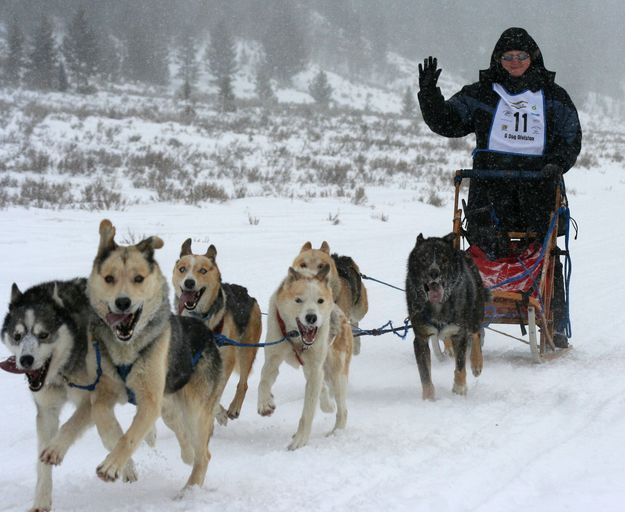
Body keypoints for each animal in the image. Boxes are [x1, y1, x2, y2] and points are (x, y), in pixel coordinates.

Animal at [0, 280, 136, 512]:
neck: (62, 371)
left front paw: (56, 449)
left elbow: (72, 425)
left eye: (43, 334)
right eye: (17, 336)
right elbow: (42, 462)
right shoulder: (47, 411)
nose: (26, 360)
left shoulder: (93, 399)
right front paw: (41, 501)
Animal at [86, 218, 224, 490]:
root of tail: (207, 334)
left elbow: (129, 437)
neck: (127, 350)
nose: (123, 302)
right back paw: (186, 454)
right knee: (184, 434)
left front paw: (112, 464)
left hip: (195, 407)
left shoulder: (150, 400)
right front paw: (124, 464)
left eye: (138, 278)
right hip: (170, 405)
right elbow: (108, 428)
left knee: (204, 454)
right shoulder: (103, 394)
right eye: (109, 278)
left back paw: (189, 491)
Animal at [171, 240, 260, 424]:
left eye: (203, 270)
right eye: (182, 269)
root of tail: (248, 295)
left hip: (245, 350)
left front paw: (217, 412)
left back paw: (234, 407)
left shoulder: (226, 359)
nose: (189, 282)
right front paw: (217, 412)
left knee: (243, 383)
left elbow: (216, 391)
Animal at [254, 266, 352, 450]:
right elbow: (263, 382)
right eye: (298, 300)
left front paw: (300, 440)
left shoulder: (315, 370)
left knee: (342, 409)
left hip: (337, 374)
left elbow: (307, 412)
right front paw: (265, 403)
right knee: (323, 389)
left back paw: (336, 431)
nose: (311, 317)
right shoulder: (272, 359)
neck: (296, 338)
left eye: (320, 301)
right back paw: (327, 405)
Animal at [404, 234, 488, 402]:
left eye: (444, 260)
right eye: (424, 259)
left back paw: (476, 362)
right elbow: (425, 374)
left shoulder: (459, 333)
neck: (438, 306)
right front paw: (428, 399)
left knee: (476, 333)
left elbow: (460, 365)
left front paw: (459, 388)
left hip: (475, 311)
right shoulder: (421, 338)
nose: (434, 272)